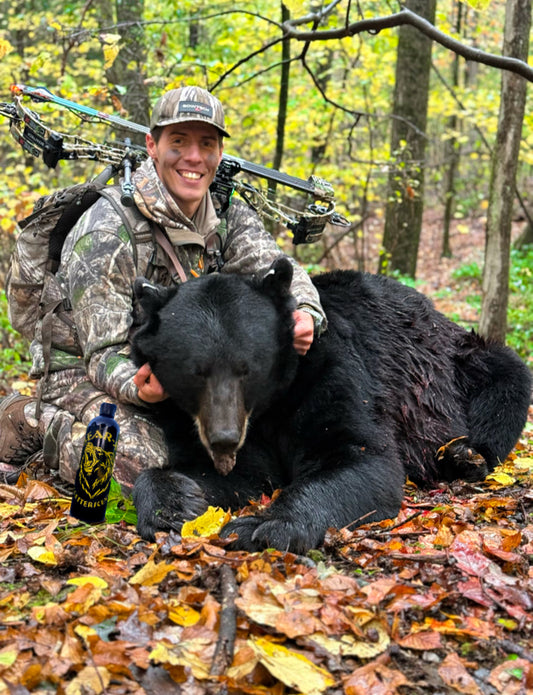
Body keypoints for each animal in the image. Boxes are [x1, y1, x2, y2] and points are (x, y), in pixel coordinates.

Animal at [130, 257, 532, 554]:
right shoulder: (187, 415)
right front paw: (176, 503)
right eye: (196, 371)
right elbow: (243, 474)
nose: (224, 439)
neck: (270, 403)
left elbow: (359, 456)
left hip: (457, 365)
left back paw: (464, 456)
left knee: (506, 380)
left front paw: (261, 525)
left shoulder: (329, 371)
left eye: (247, 367)